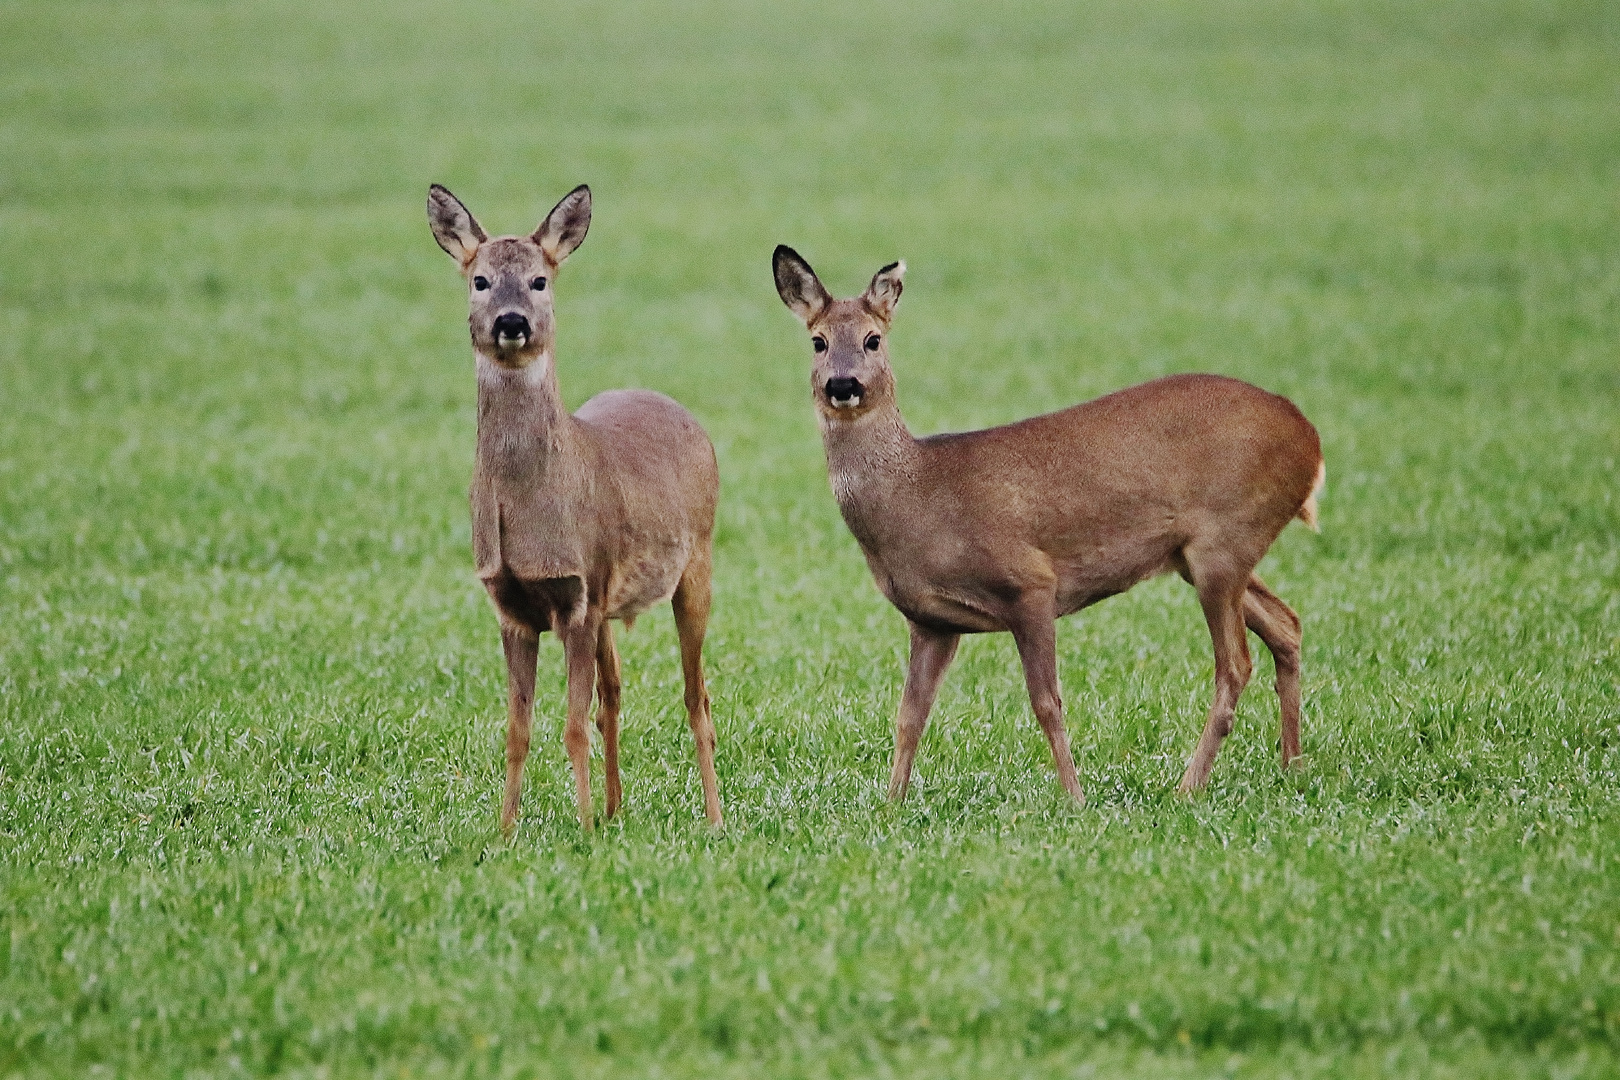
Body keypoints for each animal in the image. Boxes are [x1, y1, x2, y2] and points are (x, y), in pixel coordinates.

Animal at [434, 181, 725, 835]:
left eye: (540, 279)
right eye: (480, 279)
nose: (511, 322)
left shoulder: (577, 594)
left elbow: (569, 727)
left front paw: (585, 829)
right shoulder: (512, 604)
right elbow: (518, 730)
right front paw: (505, 832)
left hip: (695, 563)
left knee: (696, 695)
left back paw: (714, 818)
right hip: (611, 602)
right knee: (614, 693)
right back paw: (618, 809)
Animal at [774, 247, 1328, 803]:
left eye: (873, 338)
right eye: (819, 341)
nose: (843, 385)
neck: (917, 494)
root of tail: (1310, 438)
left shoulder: (1031, 583)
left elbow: (1046, 702)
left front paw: (1076, 799)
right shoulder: (931, 620)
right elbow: (910, 716)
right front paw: (892, 803)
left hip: (1225, 541)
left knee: (1234, 665)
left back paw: (1187, 787)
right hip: (1202, 555)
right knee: (1287, 624)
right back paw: (1292, 767)